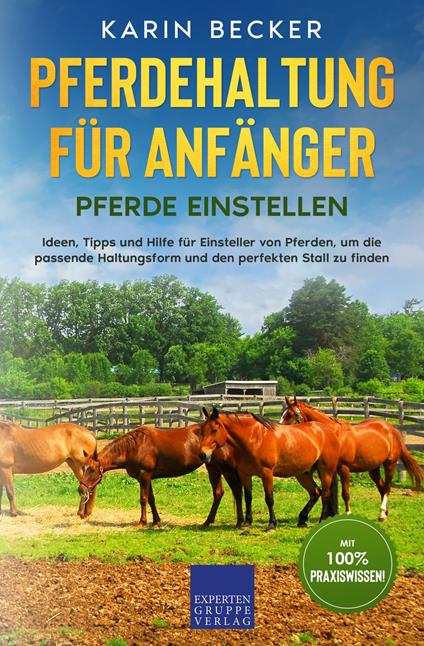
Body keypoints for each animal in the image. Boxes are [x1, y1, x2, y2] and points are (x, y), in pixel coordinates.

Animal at [78, 423, 246, 528]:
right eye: (84, 468)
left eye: (91, 470)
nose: (81, 489)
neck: (134, 447)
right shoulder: (147, 477)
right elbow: (151, 499)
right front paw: (156, 521)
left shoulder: (144, 475)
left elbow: (143, 499)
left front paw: (142, 522)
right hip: (213, 468)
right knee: (219, 493)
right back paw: (208, 521)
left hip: (224, 469)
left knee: (236, 491)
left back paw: (236, 522)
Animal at [198, 407, 341, 531]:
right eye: (202, 430)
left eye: (214, 430)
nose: (203, 454)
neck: (254, 438)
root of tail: (327, 430)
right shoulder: (245, 474)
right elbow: (248, 497)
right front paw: (247, 523)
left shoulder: (266, 473)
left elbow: (269, 499)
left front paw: (272, 524)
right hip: (303, 474)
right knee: (315, 492)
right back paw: (302, 519)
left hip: (326, 471)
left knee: (325, 494)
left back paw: (321, 521)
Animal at [280, 397, 424, 521]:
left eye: (290, 415)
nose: (280, 430)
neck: (334, 435)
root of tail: (392, 429)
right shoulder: (329, 469)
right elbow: (328, 493)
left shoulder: (344, 468)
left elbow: (345, 493)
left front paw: (348, 513)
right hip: (373, 469)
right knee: (382, 487)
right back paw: (384, 512)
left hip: (390, 464)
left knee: (387, 487)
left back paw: (382, 514)